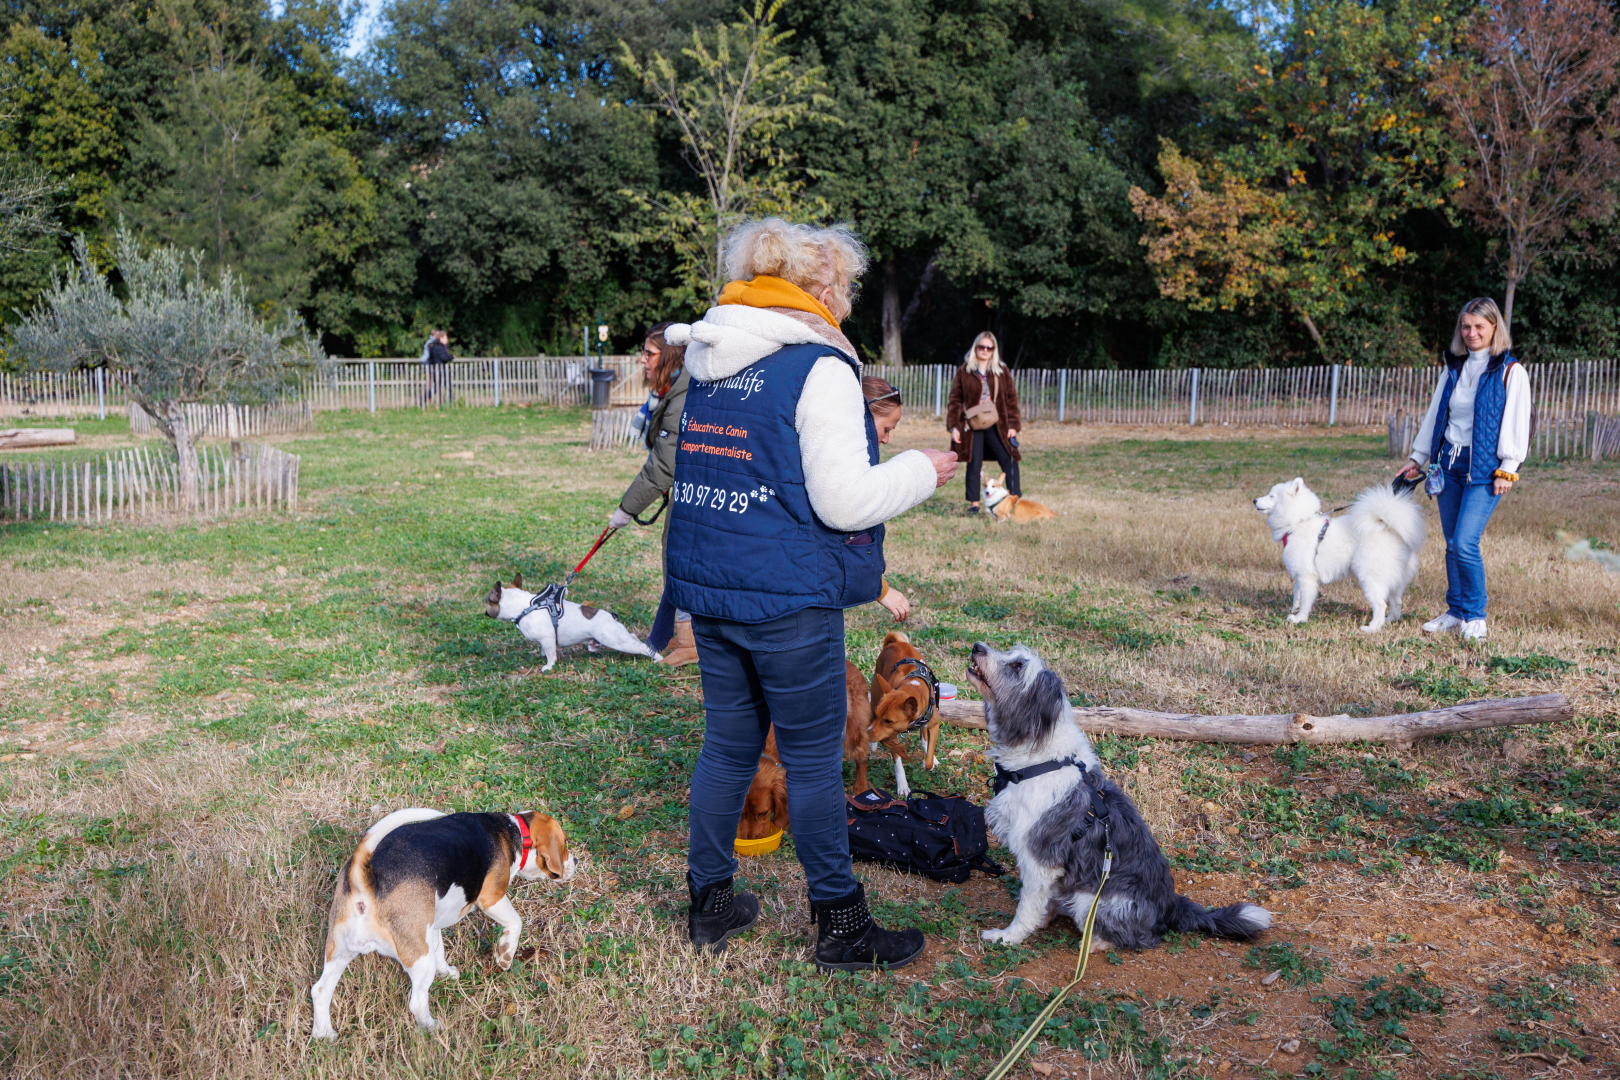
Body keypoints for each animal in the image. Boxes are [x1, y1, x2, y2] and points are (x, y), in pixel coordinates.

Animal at [309, 809, 576, 1036]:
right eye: (564, 844)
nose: (574, 862)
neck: (512, 830)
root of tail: (365, 882)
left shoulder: (432, 925)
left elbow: (440, 952)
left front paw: (446, 973)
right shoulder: (491, 898)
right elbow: (515, 922)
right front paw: (505, 955)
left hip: (340, 951)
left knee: (320, 990)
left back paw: (325, 1035)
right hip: (418, 957)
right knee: (417, 1002)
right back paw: (432, 1029)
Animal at [965, 641, 1270, 952]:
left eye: (1017, 666)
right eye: (1011, 654)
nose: (978, 646)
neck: (1039, 761)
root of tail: (1171, 906)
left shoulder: (1040, 858)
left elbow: (1027, 907)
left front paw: (1008, 937)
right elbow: (1042, 902)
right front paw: (1042, 919)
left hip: (1094, 900)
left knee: (1133, 938)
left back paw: (1092, 942)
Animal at [1257, 482, 1425, 634]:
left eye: (1271, 496)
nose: (1254, 500)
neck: (1299, 523)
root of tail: (1389, 529)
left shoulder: (1307, 577)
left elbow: (1305, 600)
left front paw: (1300, 618)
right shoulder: (1301, 573)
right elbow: (1296, 593)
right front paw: (1294, 610)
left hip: (1370, 578)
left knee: (1381, 605)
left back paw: (1372, 628)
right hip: (1395, 580)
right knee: (1397, 602)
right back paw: (1390, 620)